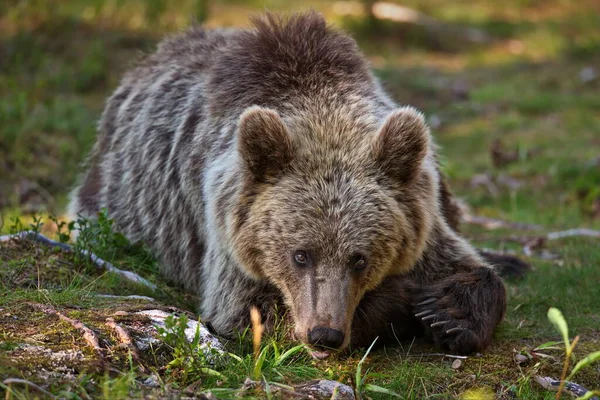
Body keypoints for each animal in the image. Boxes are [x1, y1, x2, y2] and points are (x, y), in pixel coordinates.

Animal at [69, 11, 524, 356]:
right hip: (117, 198)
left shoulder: (421, 215)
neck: (318, 101)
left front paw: (449, 311)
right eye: (300, 255)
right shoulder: (229, 236)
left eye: (359, 258)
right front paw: (411, 302)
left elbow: (465, 267)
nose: (324, 334)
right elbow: (252, 314)